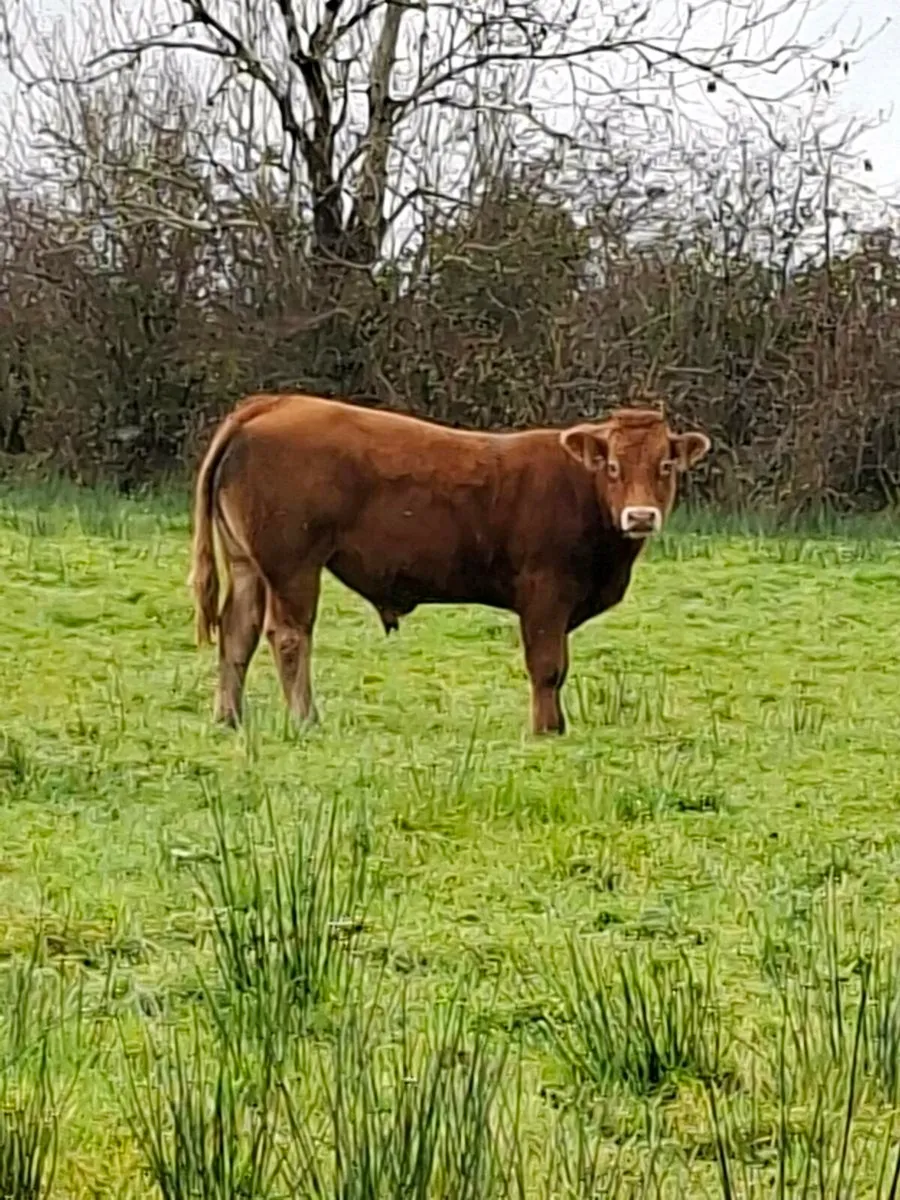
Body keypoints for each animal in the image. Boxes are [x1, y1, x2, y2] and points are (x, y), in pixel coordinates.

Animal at [188, 394, 710, 735]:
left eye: (665, 466)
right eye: (613, 467)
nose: (640, 516)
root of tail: (273, 403)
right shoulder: (546, 593)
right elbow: (547, 666)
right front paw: (546, 729)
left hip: (247, 564)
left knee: (237, 633)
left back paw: (229, 718)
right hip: (293, 566)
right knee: (289, 636)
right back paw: (305, 719)